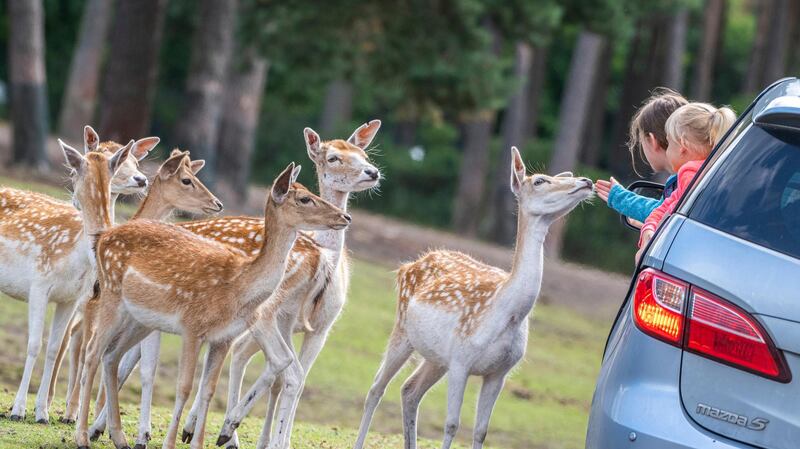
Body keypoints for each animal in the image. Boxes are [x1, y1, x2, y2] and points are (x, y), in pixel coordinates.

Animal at [0, 125, 158, 420]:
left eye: (136, 161)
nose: (142, 179)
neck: (78, 256)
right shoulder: (39, 284)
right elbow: (34, 344)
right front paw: (18, 410)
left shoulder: (70, 298)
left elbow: (52, 348)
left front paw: (42, 413)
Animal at [75, 163, 350, 448]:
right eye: (304, 198)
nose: (345, 217)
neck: (238, 284)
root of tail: (103, 236)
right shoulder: (191, 327)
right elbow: (178, 384)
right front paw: (161, 440)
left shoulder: (221, 338)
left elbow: (206, 388)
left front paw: (187, 439)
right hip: (116, 300)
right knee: (94, 352)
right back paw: (84, 435)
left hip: (140, 318)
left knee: (110, 356)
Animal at [354, 147, 592, 448]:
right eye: (539, 180)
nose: (586, 181)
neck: (508, 313)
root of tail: (406, 267)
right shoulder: (461, 360)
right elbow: (452, 424)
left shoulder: (499, 372)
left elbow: (481, 430)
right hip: (403, 330)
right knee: (377, 387)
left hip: (436, 356)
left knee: (409, 389)